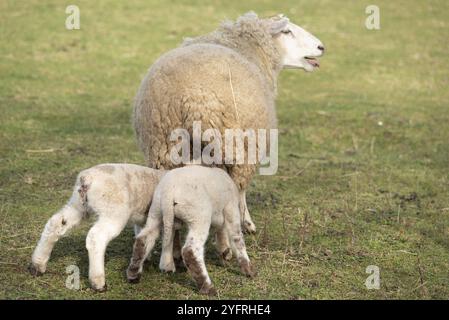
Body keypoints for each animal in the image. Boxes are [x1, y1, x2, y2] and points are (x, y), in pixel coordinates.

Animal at [126, 165, 256, 296]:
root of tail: (169, 191)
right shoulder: (231, 210)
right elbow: (237, 239)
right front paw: (248, 270)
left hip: (155, 212)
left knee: (143, 239)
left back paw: (133, 275)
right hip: (199, 216)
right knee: (190, 251)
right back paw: (207, 287)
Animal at [131, 11, 324, 234]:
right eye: (286, 31)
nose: (321, 47)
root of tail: (192, 99)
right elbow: (242, 192)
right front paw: (248, 223)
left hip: (163, 147)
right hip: (230, 144)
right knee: (234, 187)